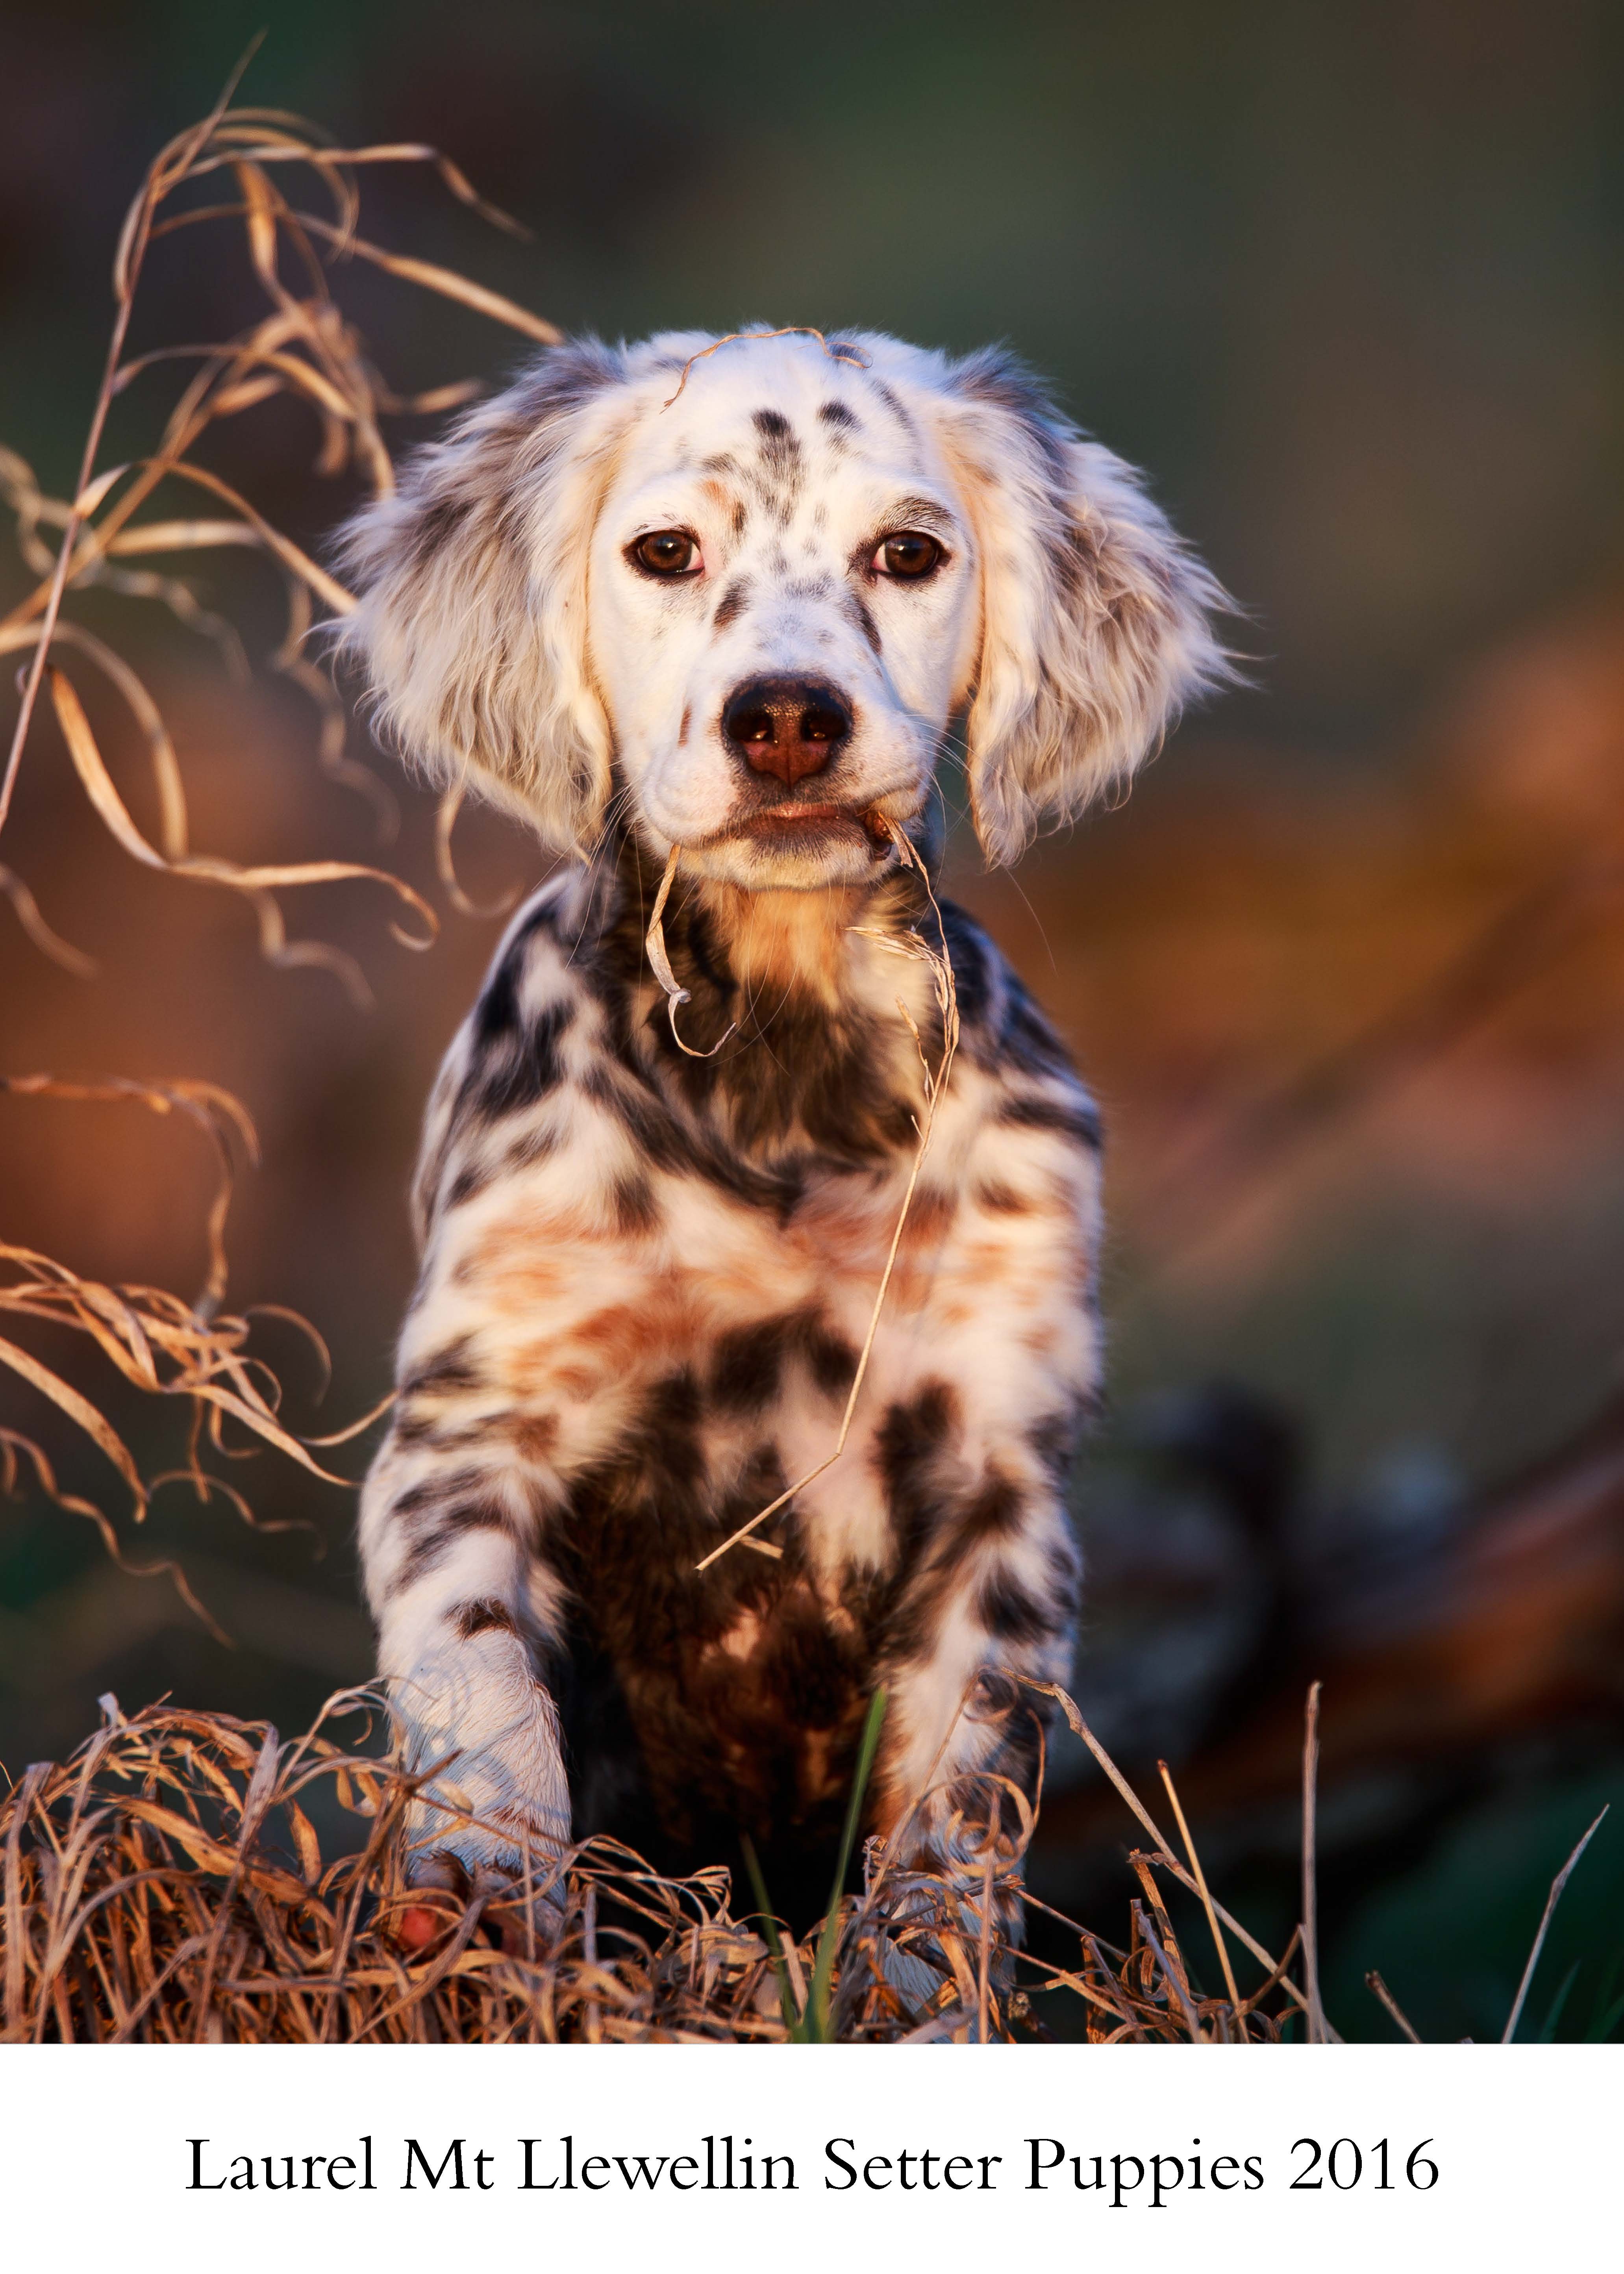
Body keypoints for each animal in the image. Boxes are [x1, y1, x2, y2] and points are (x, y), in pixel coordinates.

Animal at [332, 321, 1228, 1955]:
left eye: (908, 553)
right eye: (666, 552)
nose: (790, 717)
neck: (784, 1069)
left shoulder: (997, 1461)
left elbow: (958, 1800)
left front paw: (919, 1981)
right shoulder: (473, 1417)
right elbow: (476, 1670)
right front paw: (483, 1883)